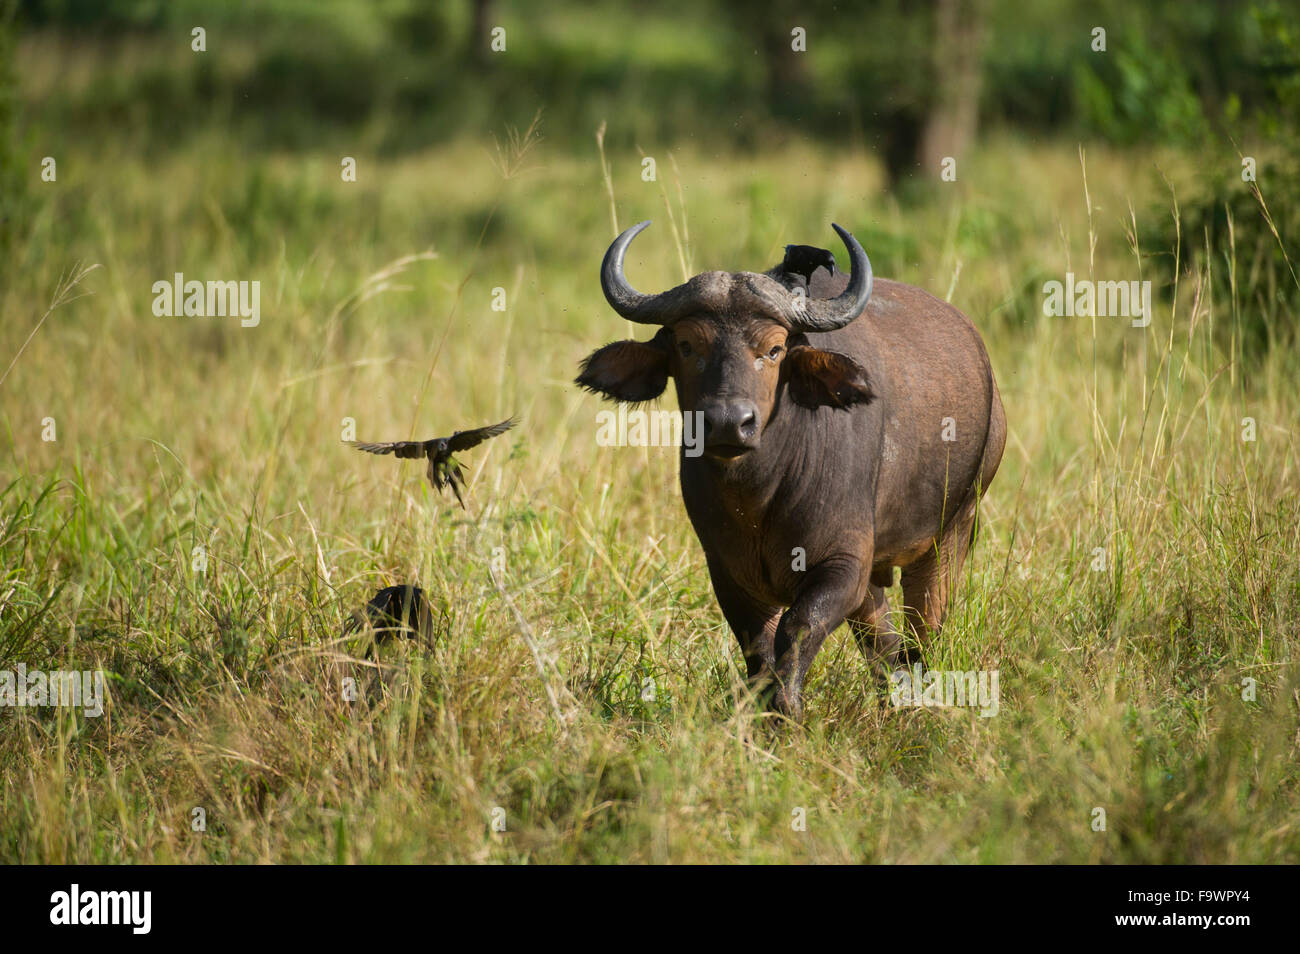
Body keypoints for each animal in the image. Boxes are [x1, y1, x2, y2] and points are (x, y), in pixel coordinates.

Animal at [577, 222, 1003, 717]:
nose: (729, 422)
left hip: (952, 529)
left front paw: (787, 709)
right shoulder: (728, 572)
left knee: (922, 630)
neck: (759, 498)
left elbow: (798, 627)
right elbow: (759, 650)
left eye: (775, 349)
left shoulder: (843, 565)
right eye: (686, 345)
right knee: (883, 642)